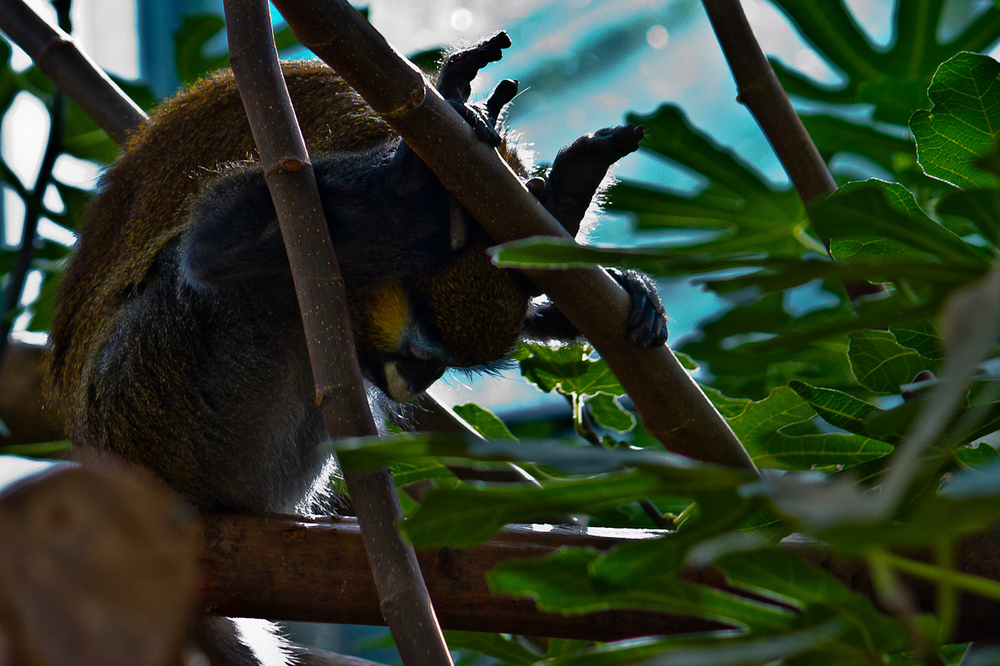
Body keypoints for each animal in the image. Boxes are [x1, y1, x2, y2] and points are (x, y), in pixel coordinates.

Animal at [45, 32, 664, 664]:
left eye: (440, 368)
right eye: (422, 358)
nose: (416, 383)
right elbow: (217, 237)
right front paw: (416, 185)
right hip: (158, 406)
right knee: (215, 263)